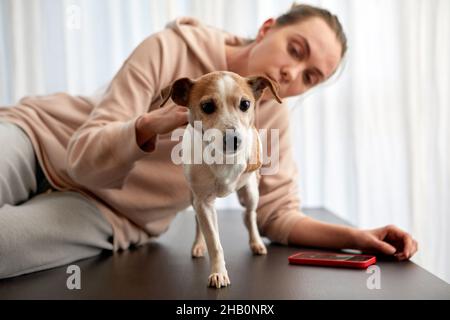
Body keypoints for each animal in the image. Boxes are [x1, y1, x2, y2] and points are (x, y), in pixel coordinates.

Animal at [160, 71, 282, 288]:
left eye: (245, 104)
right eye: (207, 106)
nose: (234, 139)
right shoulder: (203, 203)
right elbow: (214, 242)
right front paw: (218, 272)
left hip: (251, 193)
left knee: (249, 215)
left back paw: (256, 242)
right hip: (194, 198)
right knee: (199, 221)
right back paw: (199, 245)